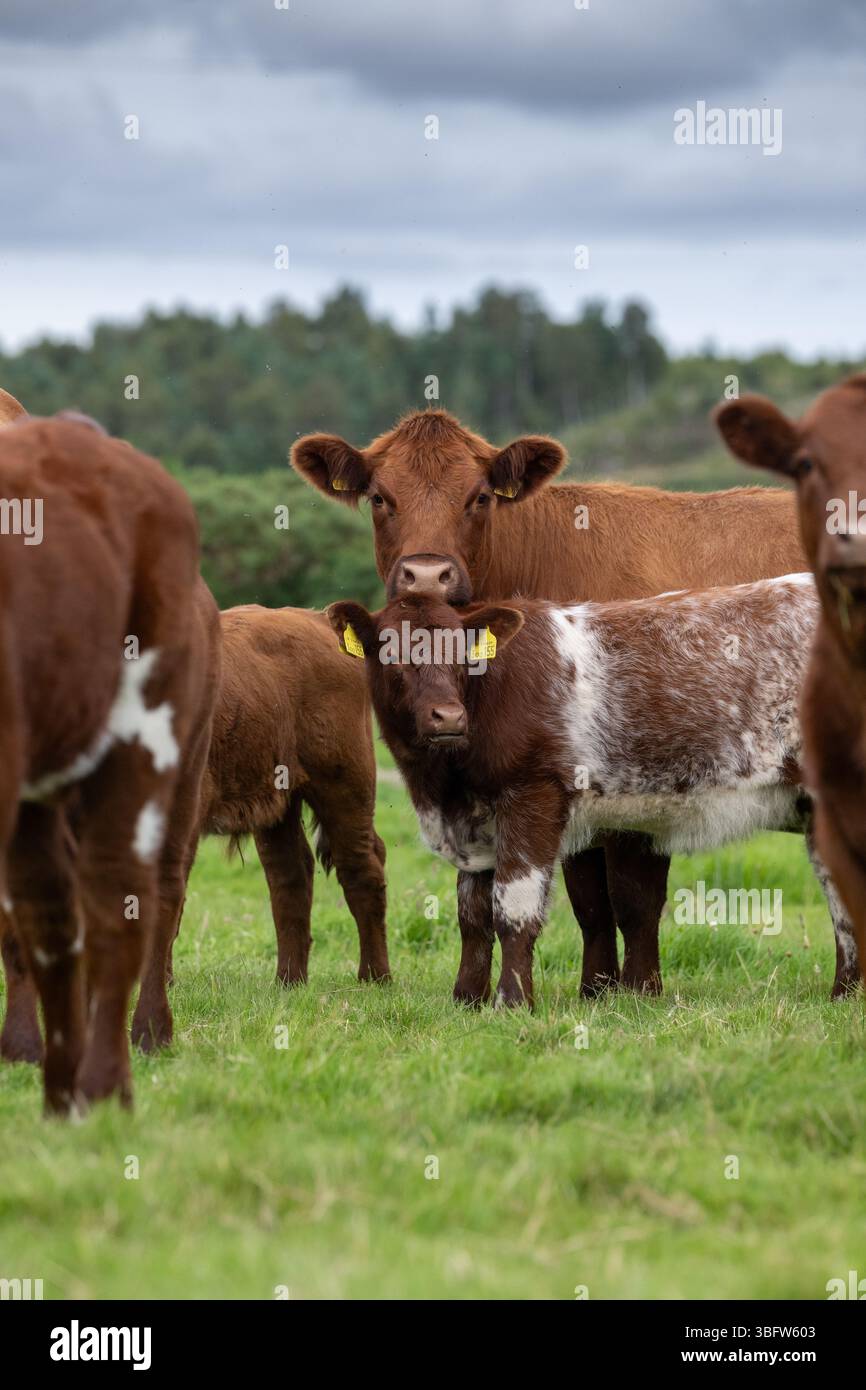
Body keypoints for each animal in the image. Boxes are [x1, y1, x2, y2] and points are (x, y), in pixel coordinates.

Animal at [133, 603, 390, 1045]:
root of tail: (320, 621)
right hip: (279, 804)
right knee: (291, 876)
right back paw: (289, 981)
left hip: (345, 788)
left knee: (361, 872)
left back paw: (374, 978)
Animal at [292, 409, 807, 996]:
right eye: (380, 497)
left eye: (479, 497)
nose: (426, 576)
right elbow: (588, 902)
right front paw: (596, 989)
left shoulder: (637, 789)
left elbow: (633, 900)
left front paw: (640, 990)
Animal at [328, 575, 856, 1007]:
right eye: (392, 652)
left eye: (463, 654)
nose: (448, 717)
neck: (444, 789)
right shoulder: (476, 821)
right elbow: (472, 915)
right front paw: (466, 999)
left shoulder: (533, 795)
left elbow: (513, 909)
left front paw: (511, 1003)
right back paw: (846, 992)